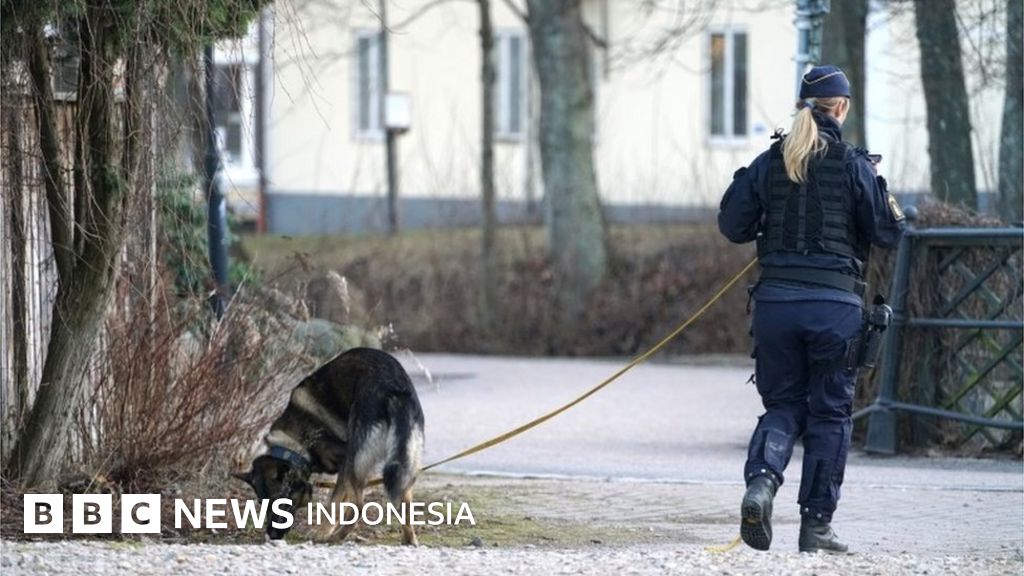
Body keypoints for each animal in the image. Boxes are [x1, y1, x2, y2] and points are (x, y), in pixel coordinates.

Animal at [234, 347, 425, 545]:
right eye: (262, 503)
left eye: (280, 501)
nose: (271, 535)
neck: (294, 443)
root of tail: (395, 389)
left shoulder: (344, 463)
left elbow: (333, 505)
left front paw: (322, 532)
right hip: (403, 462)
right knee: (403, 498)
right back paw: (409, 539)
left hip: (356, 462)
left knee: (359, 506)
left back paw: (334, 537)